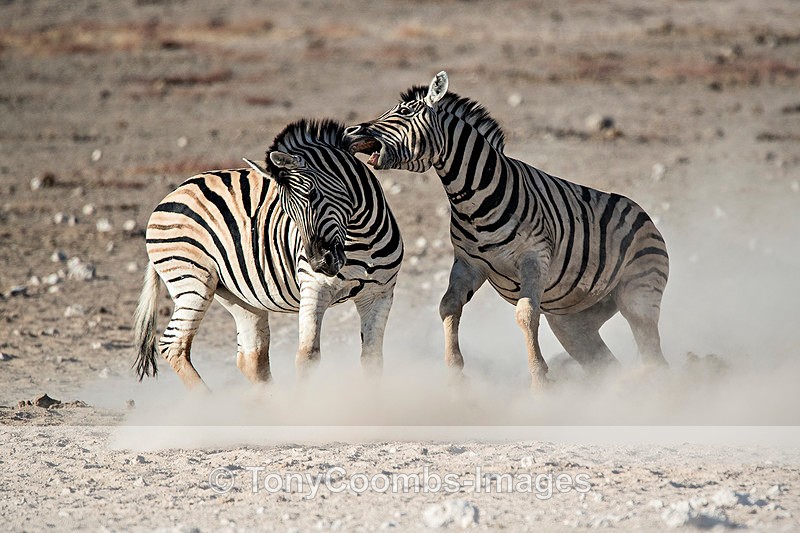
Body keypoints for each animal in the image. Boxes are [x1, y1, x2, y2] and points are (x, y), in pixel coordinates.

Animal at [134, 119, 403, 391]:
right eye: (287, 211)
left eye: (312, 195)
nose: (319, 263)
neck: (361, 236)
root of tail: (172, 193)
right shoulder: (314, 289)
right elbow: (307, 357)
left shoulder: (379, 295)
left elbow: (372, 360)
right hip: (192, 280)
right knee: (173, 345)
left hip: (237, 294)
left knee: (251, 357)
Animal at [344, 71, 669, 388]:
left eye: (404, 111)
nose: (349, 132)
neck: (473, 197)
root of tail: (644, 215)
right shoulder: (469, 263)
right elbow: (448, 305)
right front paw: (454, 372)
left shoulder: (534, 258)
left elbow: (526, 314)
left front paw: (539, 379)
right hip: (573, 321)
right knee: (606, 363)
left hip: (639, 295)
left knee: (654, 359)